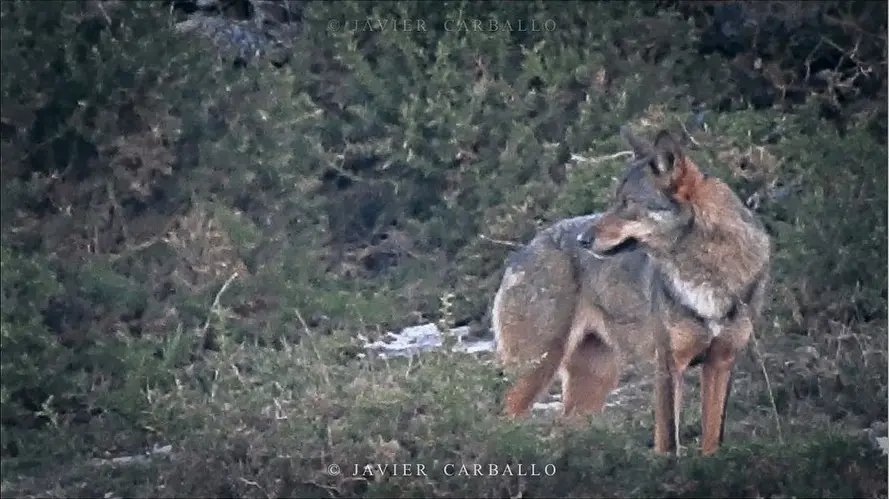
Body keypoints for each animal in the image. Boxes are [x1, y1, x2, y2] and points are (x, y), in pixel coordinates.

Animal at [492, 126, 772, 458]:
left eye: (627, 203)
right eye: (616, 200)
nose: (583, 239)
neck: (707, 270)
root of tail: (523, 249)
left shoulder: (721, 362)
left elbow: (712, 441)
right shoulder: (668, 365)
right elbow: (668, 442)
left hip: (593, 385)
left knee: (558, 432)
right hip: (537, 370)